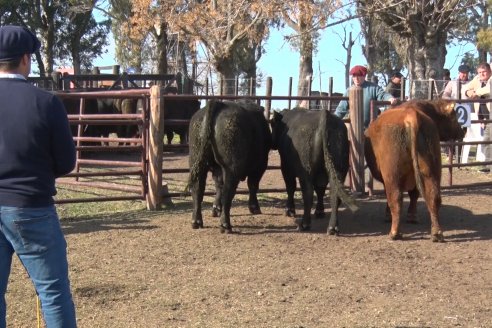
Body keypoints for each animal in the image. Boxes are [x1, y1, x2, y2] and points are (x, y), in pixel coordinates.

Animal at [186, 98, 270, 232]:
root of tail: (219, 103)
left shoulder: (217, 169)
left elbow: (218, 185)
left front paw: (216, 208)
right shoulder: (260, 166)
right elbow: (253, 185)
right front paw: (254, 207)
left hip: (197, 161)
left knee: (198, 189)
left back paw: (196, 221)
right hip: (232, 168)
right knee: (227, 192)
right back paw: (225, 225)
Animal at [366, 99, 466, 241]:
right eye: (453, 116)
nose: (462, 132)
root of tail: (411, 115)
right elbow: (414, 195)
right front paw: (412, 216)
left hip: (392, 174)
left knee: (395, 199)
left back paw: (394, 233)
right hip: (432, 170)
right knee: (433, 197)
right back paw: (436, 233)